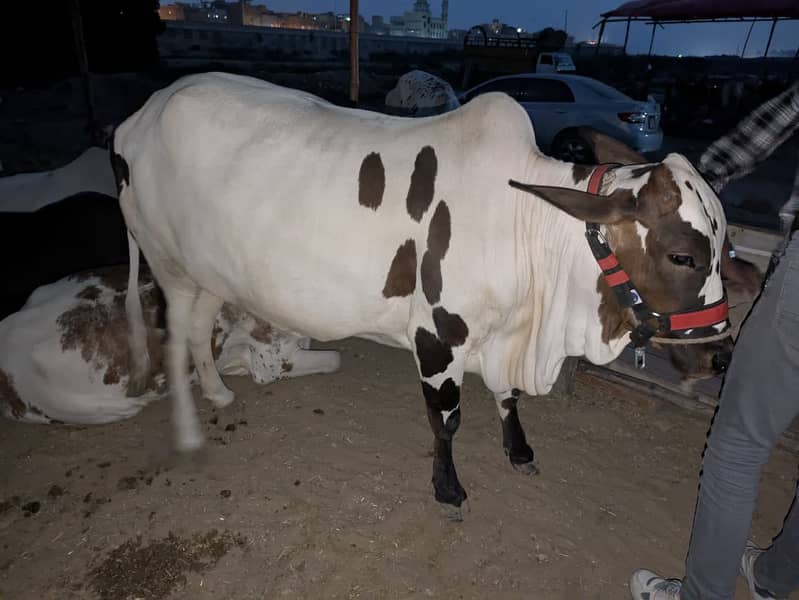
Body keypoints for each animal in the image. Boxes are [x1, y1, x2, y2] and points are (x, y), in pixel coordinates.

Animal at [113, 72, 734, 508]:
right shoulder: (438, 333)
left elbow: (506, 396)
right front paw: (448, 487)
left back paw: (219, 393)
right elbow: (448, 419)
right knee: (174, 341)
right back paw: (190, 433)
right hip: (168, 266)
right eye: (682, 256)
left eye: (725, 248)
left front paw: (519, 450)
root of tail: (139, 115)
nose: (721, 355)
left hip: (208, 273)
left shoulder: (497, 333)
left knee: (199, 334)